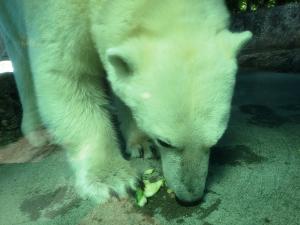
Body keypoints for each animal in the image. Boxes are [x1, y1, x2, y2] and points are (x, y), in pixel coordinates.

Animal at [0, 0, 252, 204]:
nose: (190, 197)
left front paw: (141, 144)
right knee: (19, 52)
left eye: (215, 140)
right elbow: (66, 75)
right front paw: (112, 179)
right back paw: (37, 131)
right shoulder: (55, 14)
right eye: (165, 142)